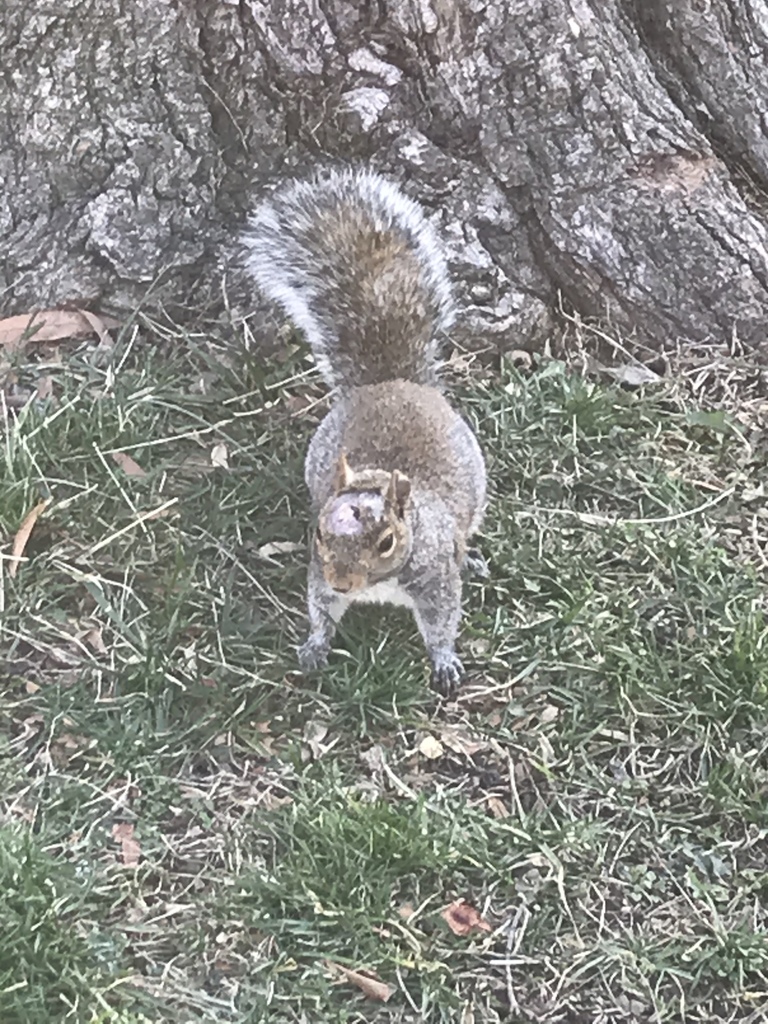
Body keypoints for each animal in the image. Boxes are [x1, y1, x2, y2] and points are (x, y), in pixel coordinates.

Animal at [243, 167, 489, 696]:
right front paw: (315, 645)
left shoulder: (436, 583)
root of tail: (392, 382)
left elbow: (442, 623)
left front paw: (444, 661)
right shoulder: (319, 574)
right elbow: (320, 609)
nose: (343, 582)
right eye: (319, 533)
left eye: (386, 543)